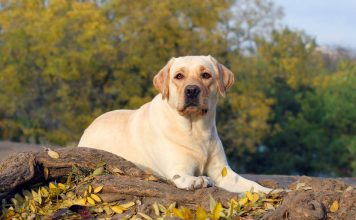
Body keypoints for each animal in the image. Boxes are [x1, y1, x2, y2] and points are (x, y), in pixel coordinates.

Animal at [79, 55, 272, 192]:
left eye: (206, 75)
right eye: (179, 76)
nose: (192, 90)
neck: (196, 129)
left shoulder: (222, 173)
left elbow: (251, 185)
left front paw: (270, 192)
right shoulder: (178, 169)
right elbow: (187, 177)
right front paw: (200, 180)